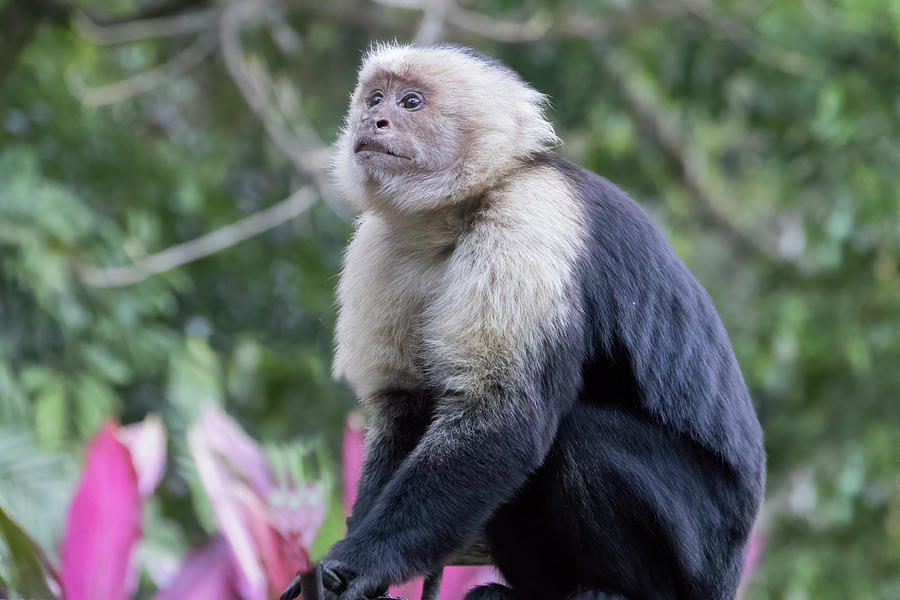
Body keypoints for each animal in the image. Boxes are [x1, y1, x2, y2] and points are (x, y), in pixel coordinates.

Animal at [282, 44, 768, 600]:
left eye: (411, 102)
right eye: (374, 98)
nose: (373, 121)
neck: (456, 213)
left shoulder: (530, 217)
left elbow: (500, 419)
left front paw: (362, 561)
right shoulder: (379, 246)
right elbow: (406, 408)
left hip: (703, 550)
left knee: (580, 437)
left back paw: (613, 589)